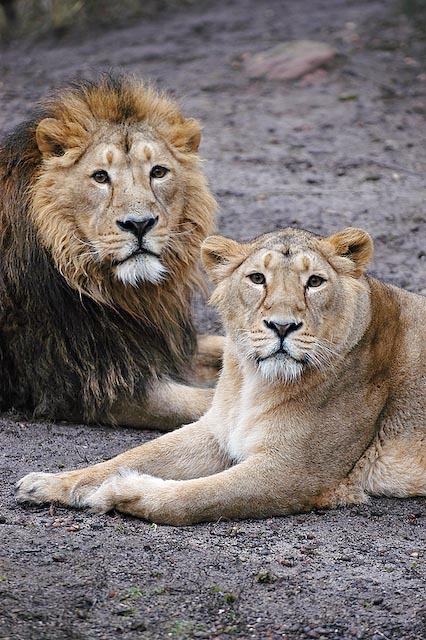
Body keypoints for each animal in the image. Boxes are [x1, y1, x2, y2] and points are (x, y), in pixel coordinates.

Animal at [16, 226, 426, 523]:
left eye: (315, 282)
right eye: (257, 278)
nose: (282, 326)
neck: (254, 381)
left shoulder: (298, 472)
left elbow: (196, 497)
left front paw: (122, 492)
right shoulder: (216, 431)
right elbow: (128, 457)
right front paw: (49, 483)